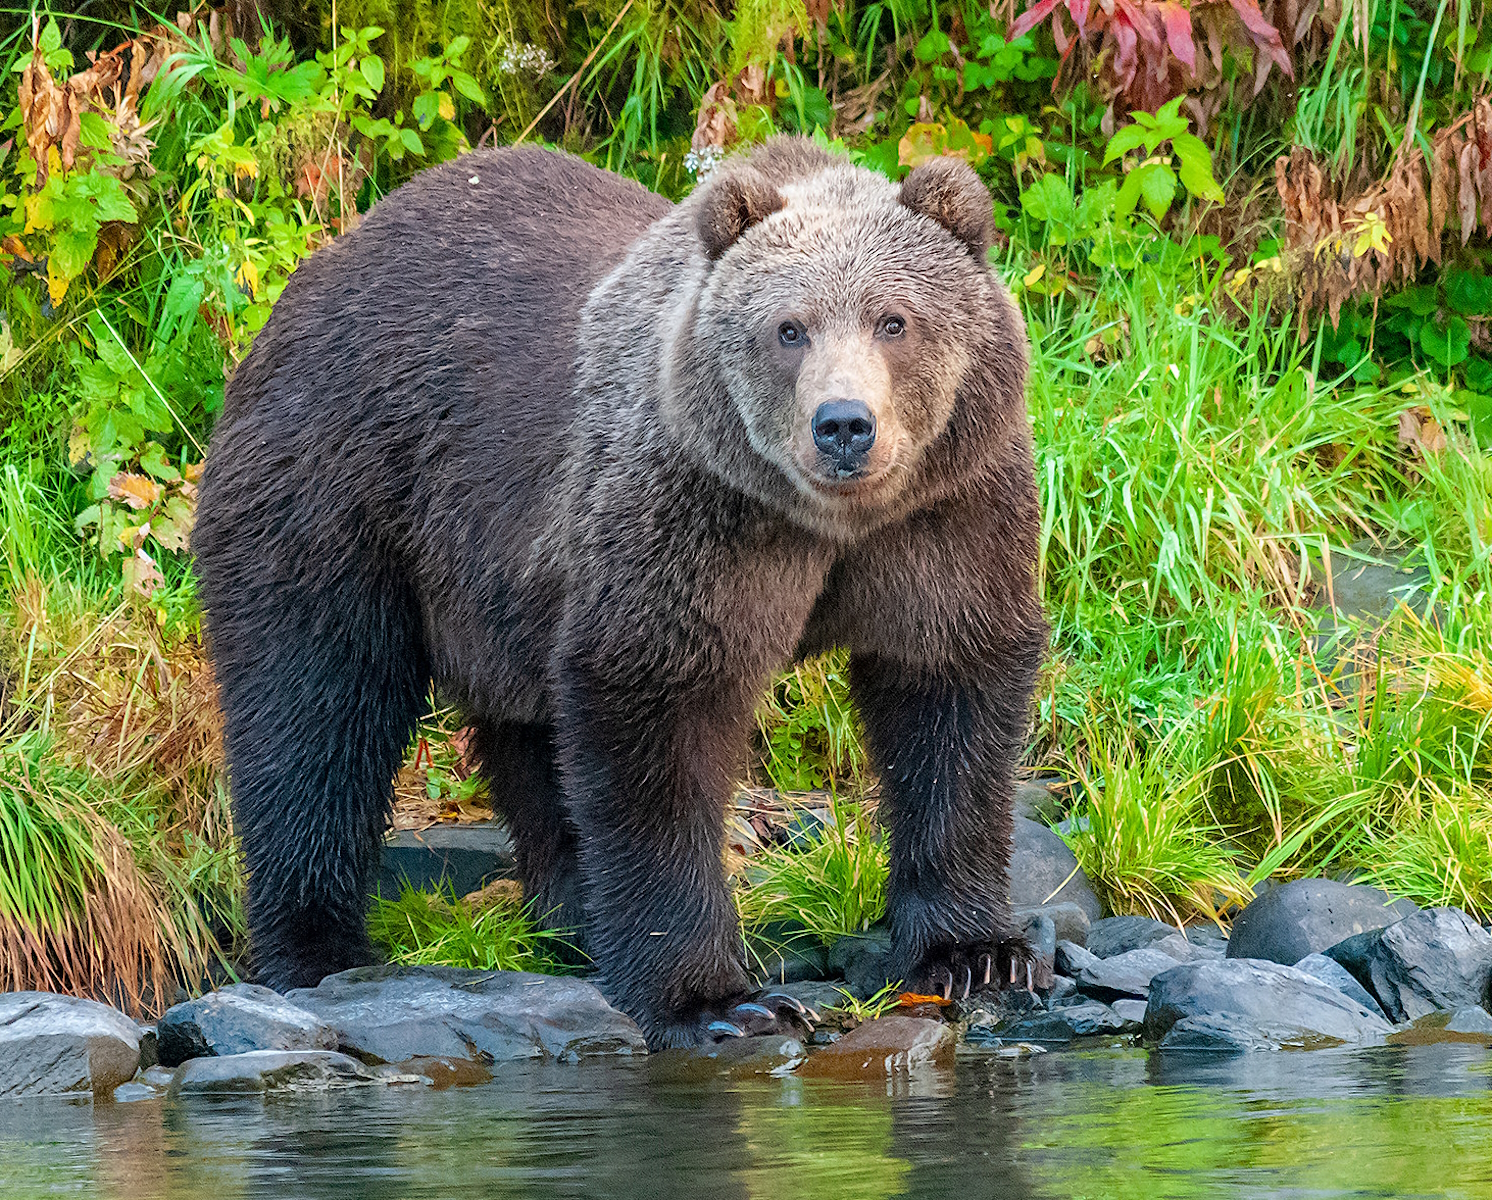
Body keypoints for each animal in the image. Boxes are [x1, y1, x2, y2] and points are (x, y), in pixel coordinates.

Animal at [192, 135, 1044, 1044]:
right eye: (788, 328)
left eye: (894, 320)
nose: (844, 424)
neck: (826, 523)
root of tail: (316, 276)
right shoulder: (692, 511)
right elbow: (654, 709)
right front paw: (716, 999)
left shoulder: (945, 511)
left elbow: (948, 692)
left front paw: (976, 953)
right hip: (337, 488)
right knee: (314, 707)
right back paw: (317, 949)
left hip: (504, 581)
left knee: (529, 738)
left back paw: (568, 917)